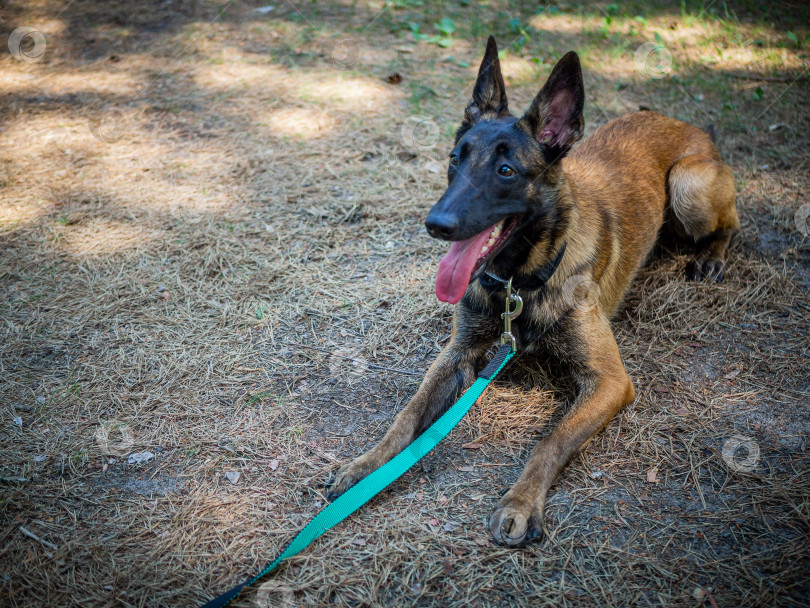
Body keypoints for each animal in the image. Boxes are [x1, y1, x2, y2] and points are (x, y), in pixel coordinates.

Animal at [326, 35, 736, 544]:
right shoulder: (457, 354)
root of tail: (688, 126)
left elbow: (550, 440)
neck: (518, 283)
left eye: (506, 170)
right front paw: (365, 466)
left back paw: (712, 256)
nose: (436, 224)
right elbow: (406, 415)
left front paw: (520, 503)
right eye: (455, 160)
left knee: (731, 224)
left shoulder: (610, 381)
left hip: (688, 185)